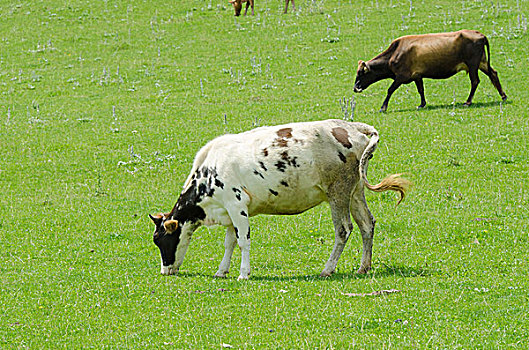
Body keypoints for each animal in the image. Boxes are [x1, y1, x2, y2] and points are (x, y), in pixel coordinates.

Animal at [148, 119, 408, 280]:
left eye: (160, 240)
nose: (164, 270)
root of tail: (350, 126)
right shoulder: (229, 211)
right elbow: (229, 242)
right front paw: (222, 271)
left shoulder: (237, 205)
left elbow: (243, 241)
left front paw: (243, 273)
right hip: (355, 192)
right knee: (367, 224)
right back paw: (364, 266)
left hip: (338, 193)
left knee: (344, 229)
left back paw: (328, 268)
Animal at [352, 30, 506, 113]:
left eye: (362, 73)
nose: (355, 88)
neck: (395, 52)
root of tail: (479, 34)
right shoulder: (417, 76)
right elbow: (421, 90)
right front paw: (422, 104)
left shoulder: (402, 76)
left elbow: (390, 90)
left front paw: (383, 107)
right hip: (482, 63)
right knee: (493, 73)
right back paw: (503, 96)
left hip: (473, 64)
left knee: (475, 81)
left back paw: (468, 102)